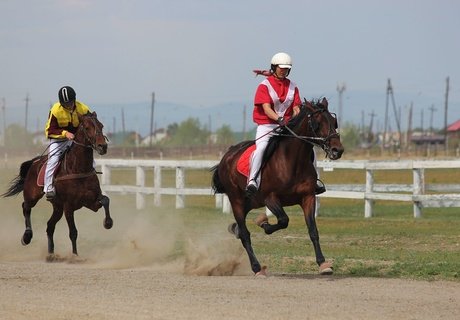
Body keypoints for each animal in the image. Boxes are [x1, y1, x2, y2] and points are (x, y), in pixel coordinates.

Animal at [1, 111, 113, 262]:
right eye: (87, 127)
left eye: (101, 126)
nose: (102, 146)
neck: (78, 169)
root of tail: (35, 162)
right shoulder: (68, 206)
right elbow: (73, 232)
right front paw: (75, 255)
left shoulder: (91, 201)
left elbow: (106, 199)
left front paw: (108, 223)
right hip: (33, 195)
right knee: (26, 207)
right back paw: (27, 236)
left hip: (57, 207)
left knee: (50, 226)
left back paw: (51, 254)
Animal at [210, 97, 344, 276]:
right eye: (317, 123)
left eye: (334, 122)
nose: (338, 150)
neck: (292, 162)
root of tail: (227, 156)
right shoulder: (271, 198)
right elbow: (283, 220)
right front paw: (264, 224)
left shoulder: (308, 197)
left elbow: (313, 231)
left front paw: (323, 264)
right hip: (236, 200)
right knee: (245, 235)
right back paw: (257, 268)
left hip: (251, 202)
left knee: (240, 227)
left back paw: (235, 230)